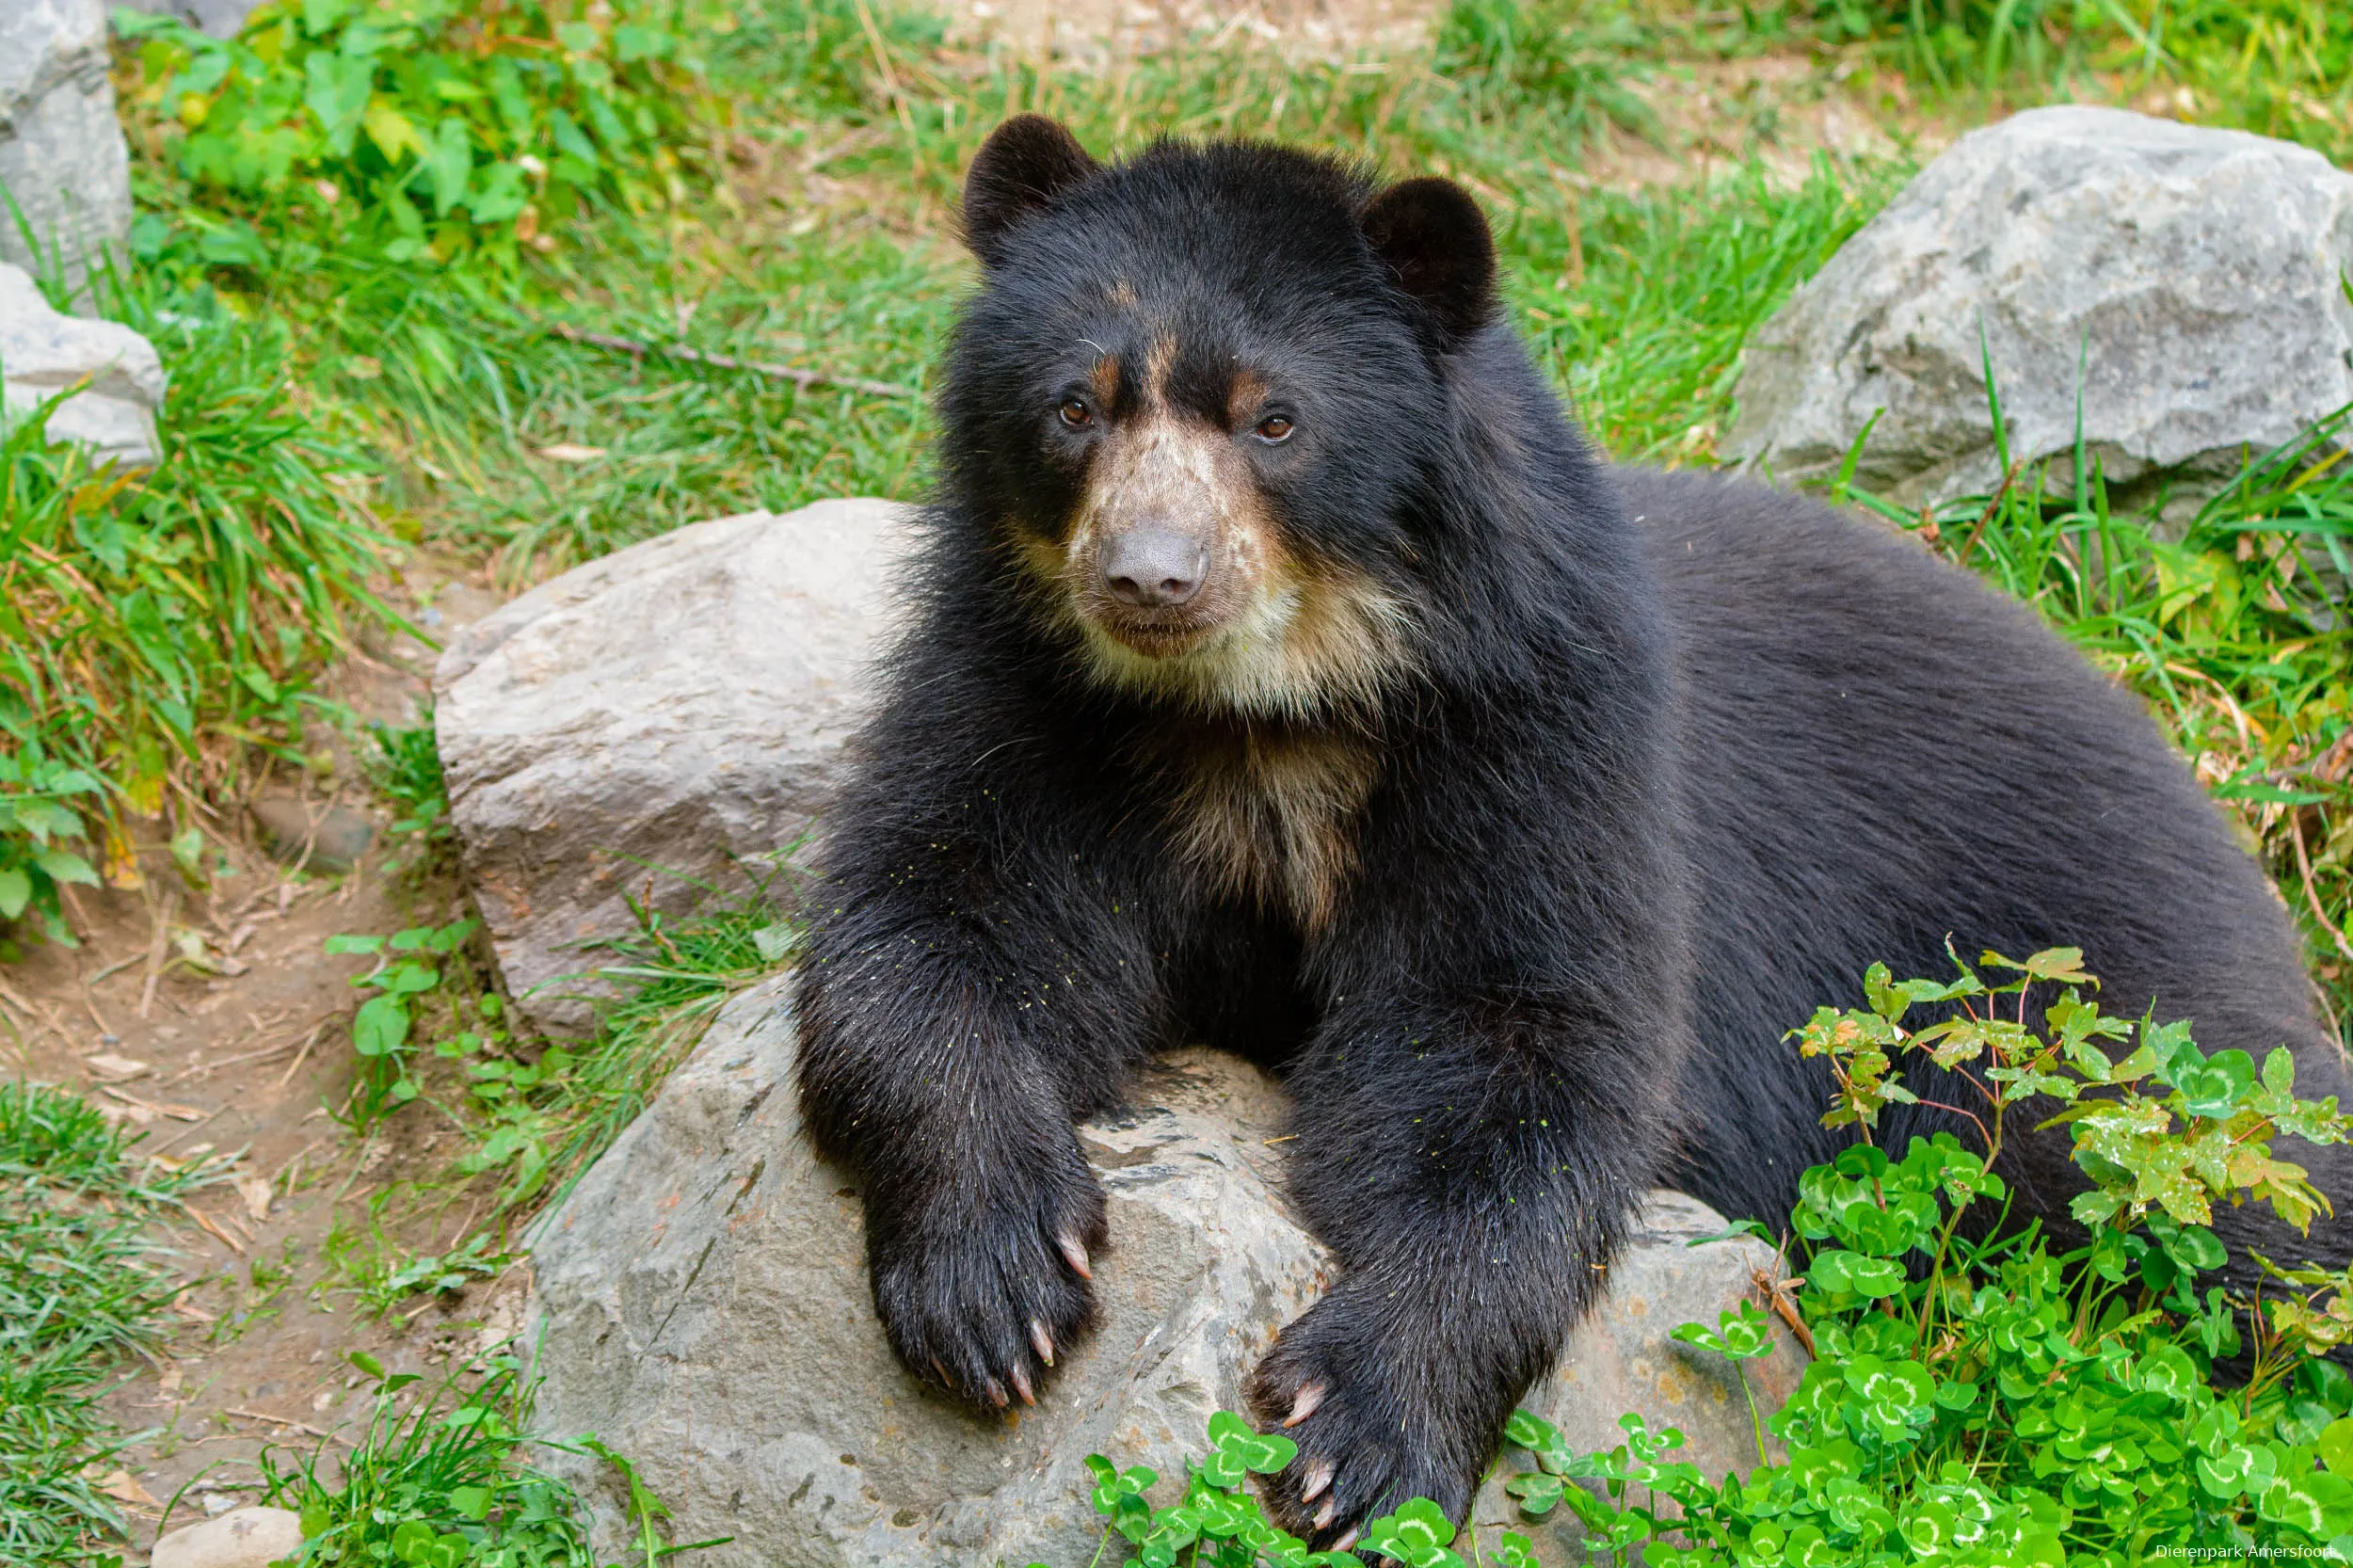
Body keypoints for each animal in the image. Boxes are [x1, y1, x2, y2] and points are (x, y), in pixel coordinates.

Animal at [786, 119, 2334, 1534]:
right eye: (1076, 407)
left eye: (1274, 419)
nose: (1148, 578)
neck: (1268, 712)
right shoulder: (1032, 692)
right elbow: (942, 915)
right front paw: (993, 1284)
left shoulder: (1540, 732)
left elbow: (1520, 1043)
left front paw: (1358, 1429)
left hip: (2105, 1031)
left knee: (2247, 1221)